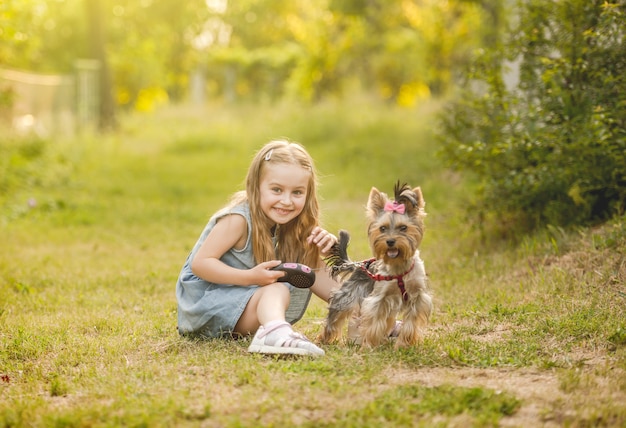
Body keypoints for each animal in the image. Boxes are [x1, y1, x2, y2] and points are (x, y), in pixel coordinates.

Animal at [320, 181, 432, 348]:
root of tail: (359, 266)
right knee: (335, 316)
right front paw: (369, 347)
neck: (399, 267)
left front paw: (404, 346)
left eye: (403, 228)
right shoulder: (379, 298)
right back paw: (326, 339)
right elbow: (374, 323)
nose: (390, 241)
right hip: (348, 295)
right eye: (382, 228)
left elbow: (410, 324)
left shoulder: (417, 297)